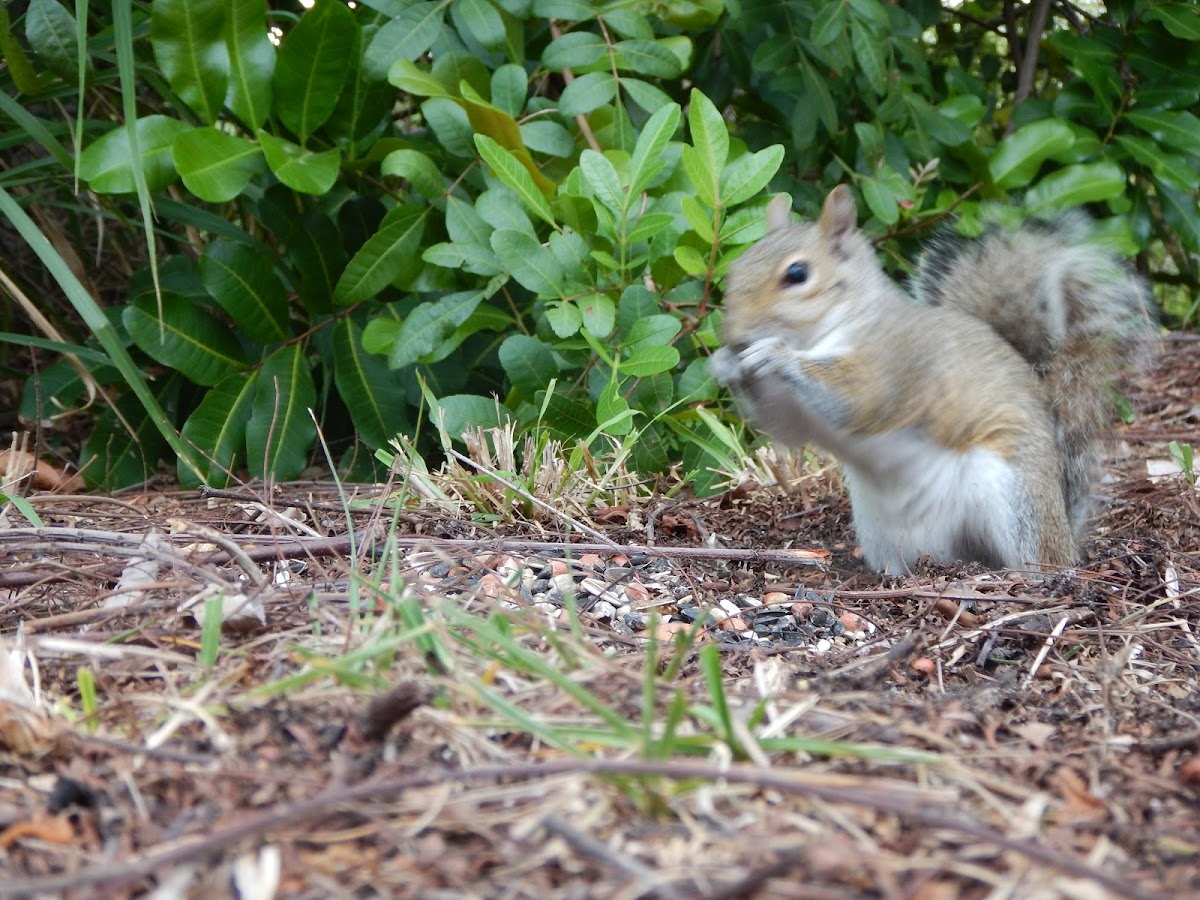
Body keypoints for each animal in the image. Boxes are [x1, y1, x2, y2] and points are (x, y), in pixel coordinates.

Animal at [710, 187, 1152, 573]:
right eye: (736, 266)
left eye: (797, 273)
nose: (734, 335)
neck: (817, 336)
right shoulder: (796, 412)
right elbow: (785, 427)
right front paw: (725, 363)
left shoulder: (897, 361)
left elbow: (858, 400)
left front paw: (775, 354)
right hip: (883, 532)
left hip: (1015, 494)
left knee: (1038, 555)